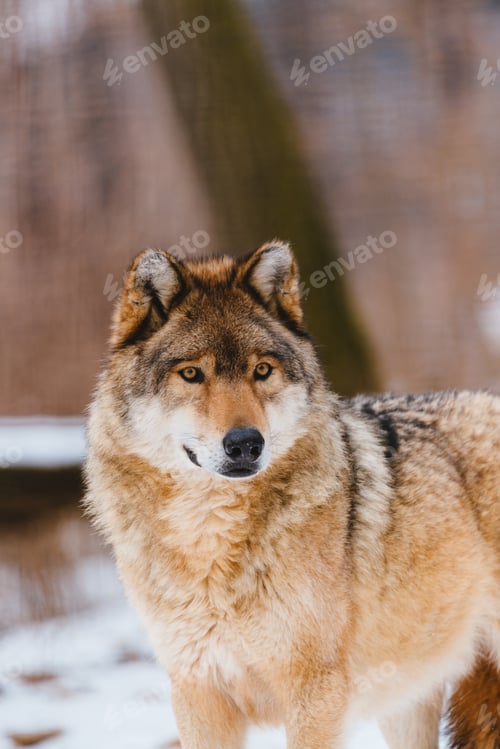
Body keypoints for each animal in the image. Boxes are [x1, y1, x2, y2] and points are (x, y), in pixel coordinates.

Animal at [85, 241, 500, 749]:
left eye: (262, 370)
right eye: (192, 374)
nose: (246, 443)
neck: (212, 544)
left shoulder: (315, 693)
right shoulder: (197, 693)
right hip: (404, 704)